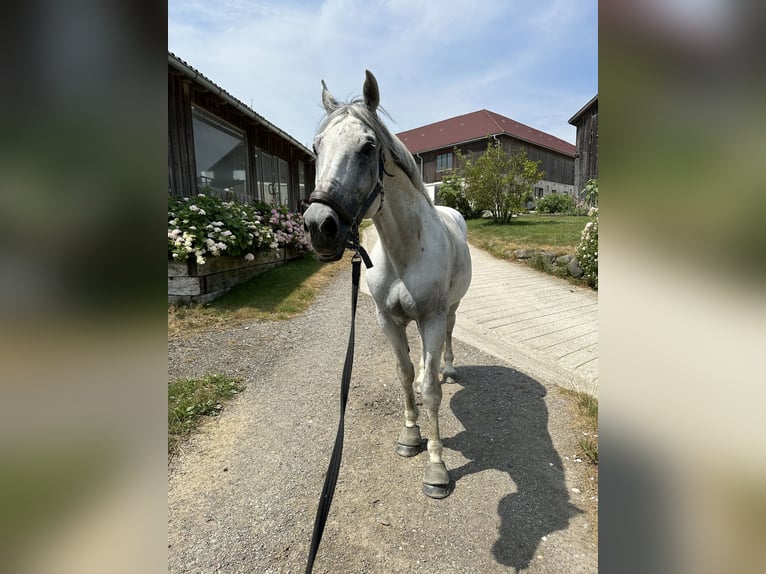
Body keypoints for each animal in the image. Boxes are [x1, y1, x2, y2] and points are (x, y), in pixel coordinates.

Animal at [302, 68, 472, 500]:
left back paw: (448, 368)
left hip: (451, 309)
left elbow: (430, 391)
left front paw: (437, 468)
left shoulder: (430, 319)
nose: (319, 226)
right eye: (316, 147)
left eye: (367, 147)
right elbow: (405, 374)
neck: (405, 251)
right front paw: (411, 436)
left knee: (449, 335)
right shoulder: (386, 320)